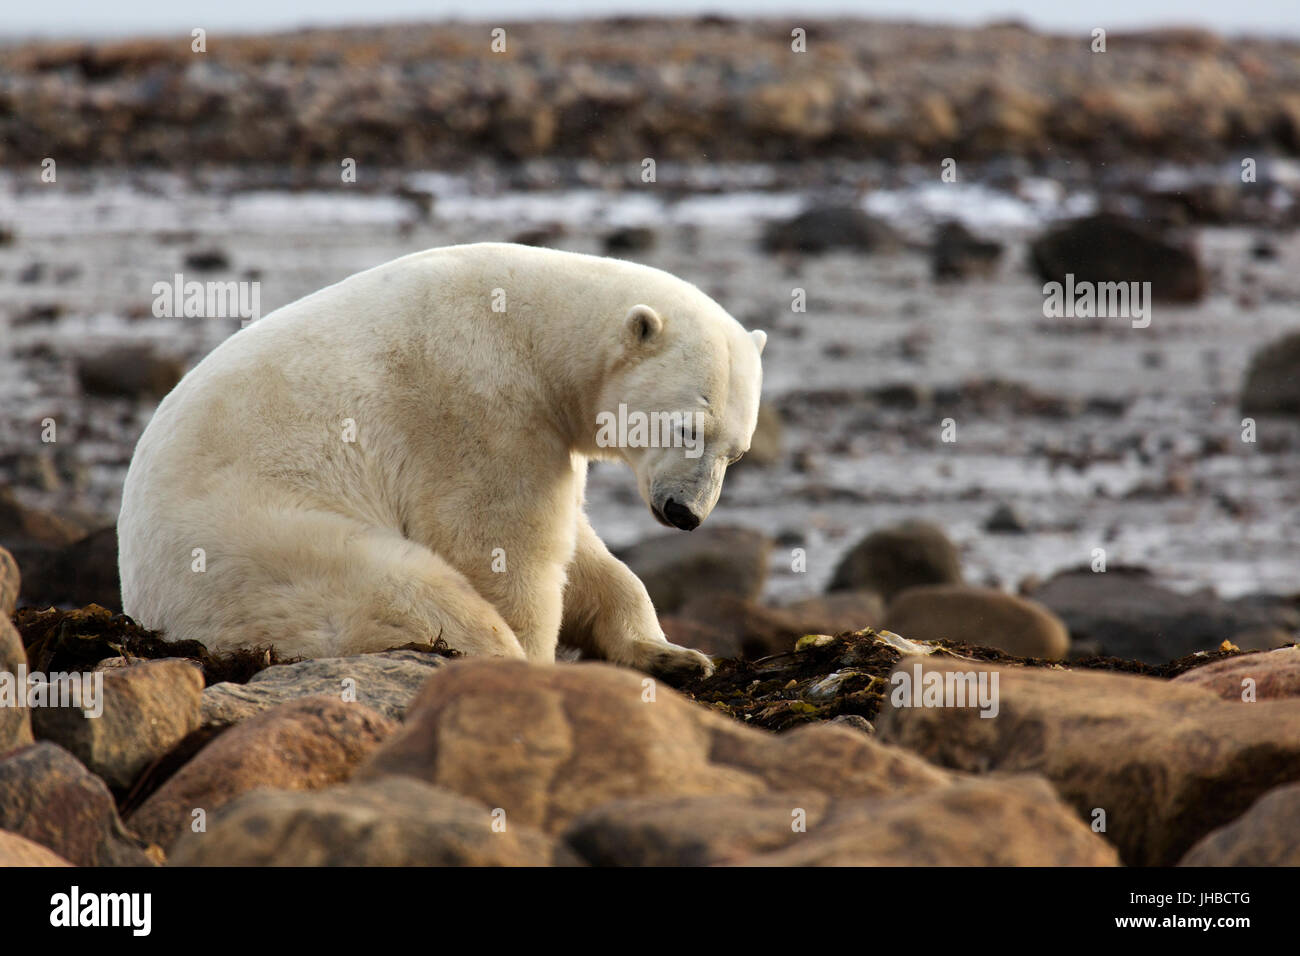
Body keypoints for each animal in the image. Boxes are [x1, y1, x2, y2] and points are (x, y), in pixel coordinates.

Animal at [118, 243, 764, 686]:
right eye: (685, 427)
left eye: (736, 452)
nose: (685, 514)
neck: (532, 331)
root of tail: (145, 606)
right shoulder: (478, 405)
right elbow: (501, 542)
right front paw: (537, 660)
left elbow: (582, 551)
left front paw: (676, 655)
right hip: (263, 546)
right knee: (410, 592)